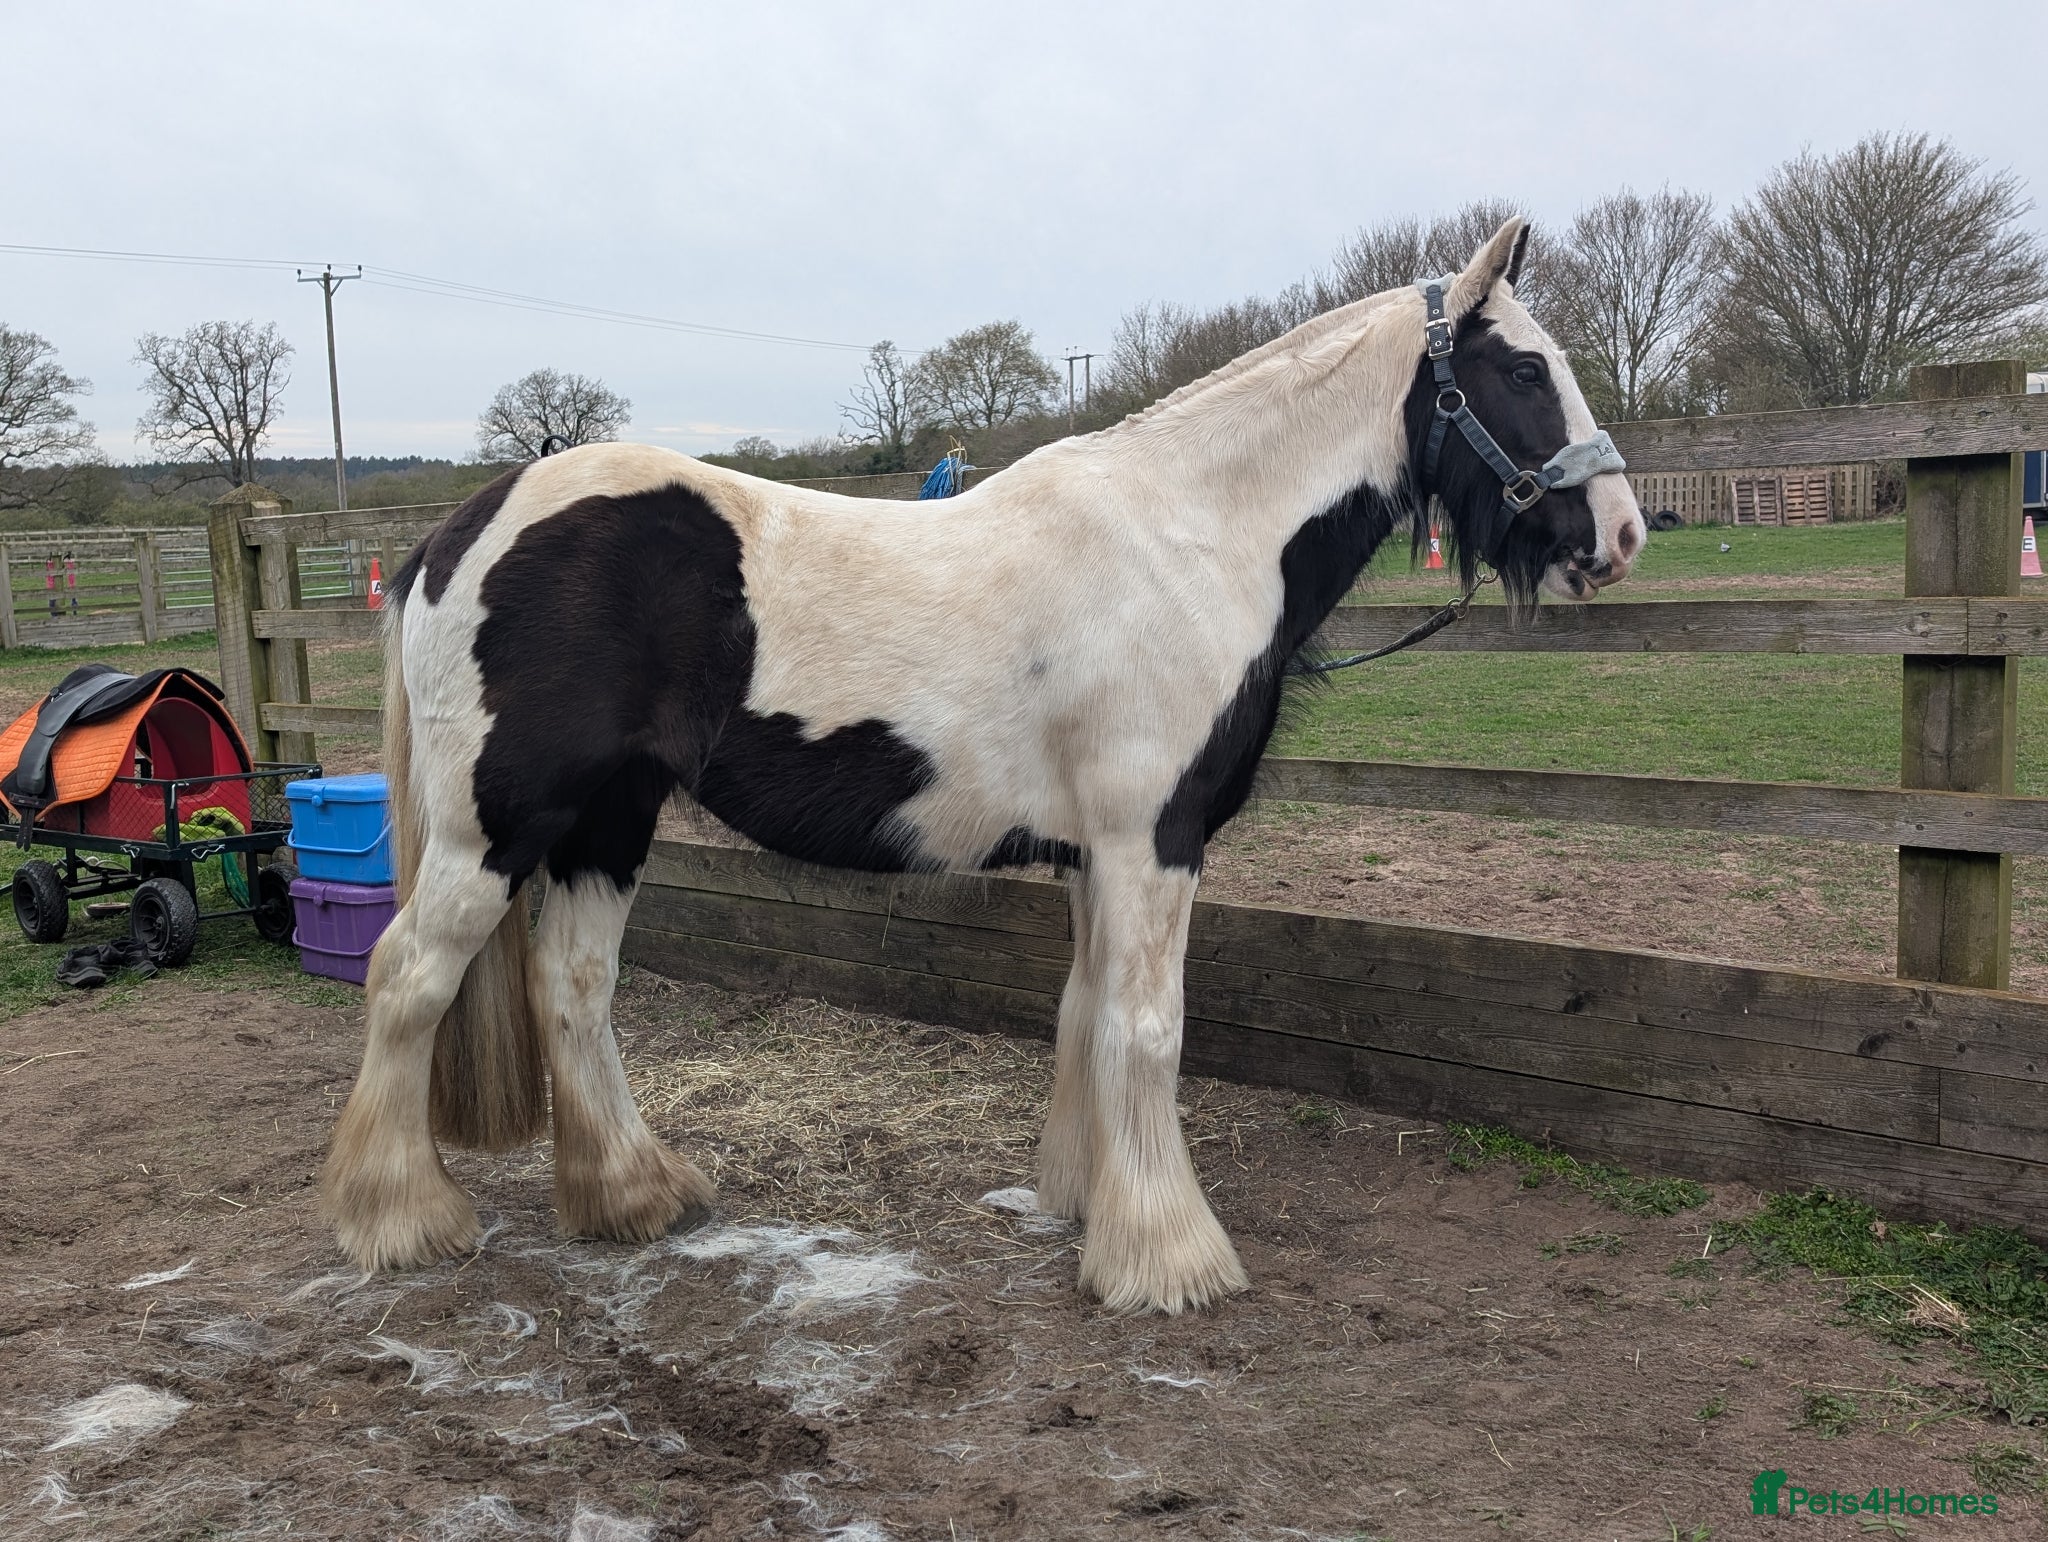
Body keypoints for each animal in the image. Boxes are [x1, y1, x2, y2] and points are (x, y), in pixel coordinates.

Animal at [322, 217, 1644, 1314]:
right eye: (1523, 370)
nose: (1620, 535)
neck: (1189, 541)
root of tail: (462, 529)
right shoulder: (1153, 844)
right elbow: (1147, 1030)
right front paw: (1170, 1261)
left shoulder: (1093, 854)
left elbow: (1082, 1013)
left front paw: (1086, 1205)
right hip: (495, 829)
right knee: (406, 978)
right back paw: (402, 1220)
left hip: (608, 824)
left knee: (574, 987)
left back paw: (633, 1195)